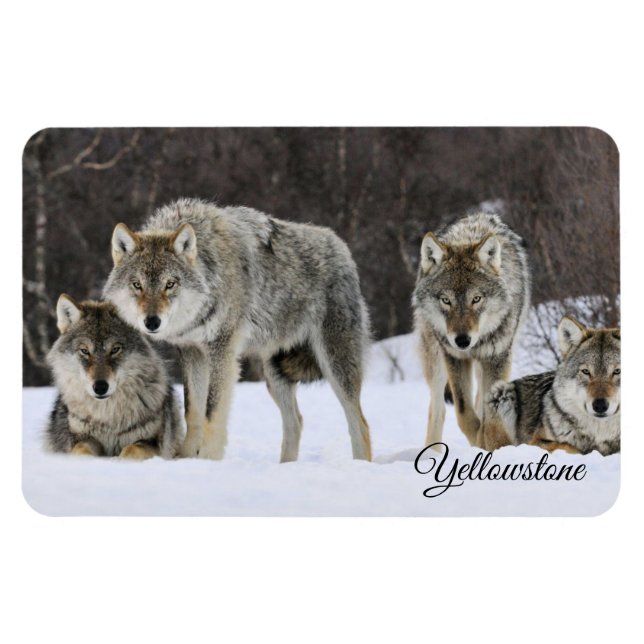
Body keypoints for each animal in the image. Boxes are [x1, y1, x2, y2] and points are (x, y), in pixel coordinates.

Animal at [46, 295, 182, 459]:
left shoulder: (153, 443)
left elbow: (132, 450)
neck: (108, 417)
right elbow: (81, 450)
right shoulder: (81, 438)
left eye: (115, 349)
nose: (100, 387)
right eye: (84, 351)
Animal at [103, 198, 372, 462]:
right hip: (274, 374)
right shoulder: (192, 352)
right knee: (296, 421)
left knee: (360, 423)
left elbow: (212, 412)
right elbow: (193, 411)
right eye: (137, 285)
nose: (152, 322)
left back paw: (360, 464)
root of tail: (341, 247)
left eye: (170, 284)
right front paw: (186, 458)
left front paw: (208, 460)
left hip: (335, 366)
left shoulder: (222, 350)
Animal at [412, 212, 531, 449]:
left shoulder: (497, 357)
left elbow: (489, 413)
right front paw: (479, 441)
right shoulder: (454, 357)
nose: (462, 340)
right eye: (446, 300)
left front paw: (492, 444)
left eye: (476, 299)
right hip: (436, 361)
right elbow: (464, 413)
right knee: (437, 409)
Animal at [487, 316, 620, 455]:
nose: (600, 405)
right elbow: (570, 447)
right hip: (501, 392)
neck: (599, 435)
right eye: (586, 371)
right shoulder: (535, 442)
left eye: (617, 371)